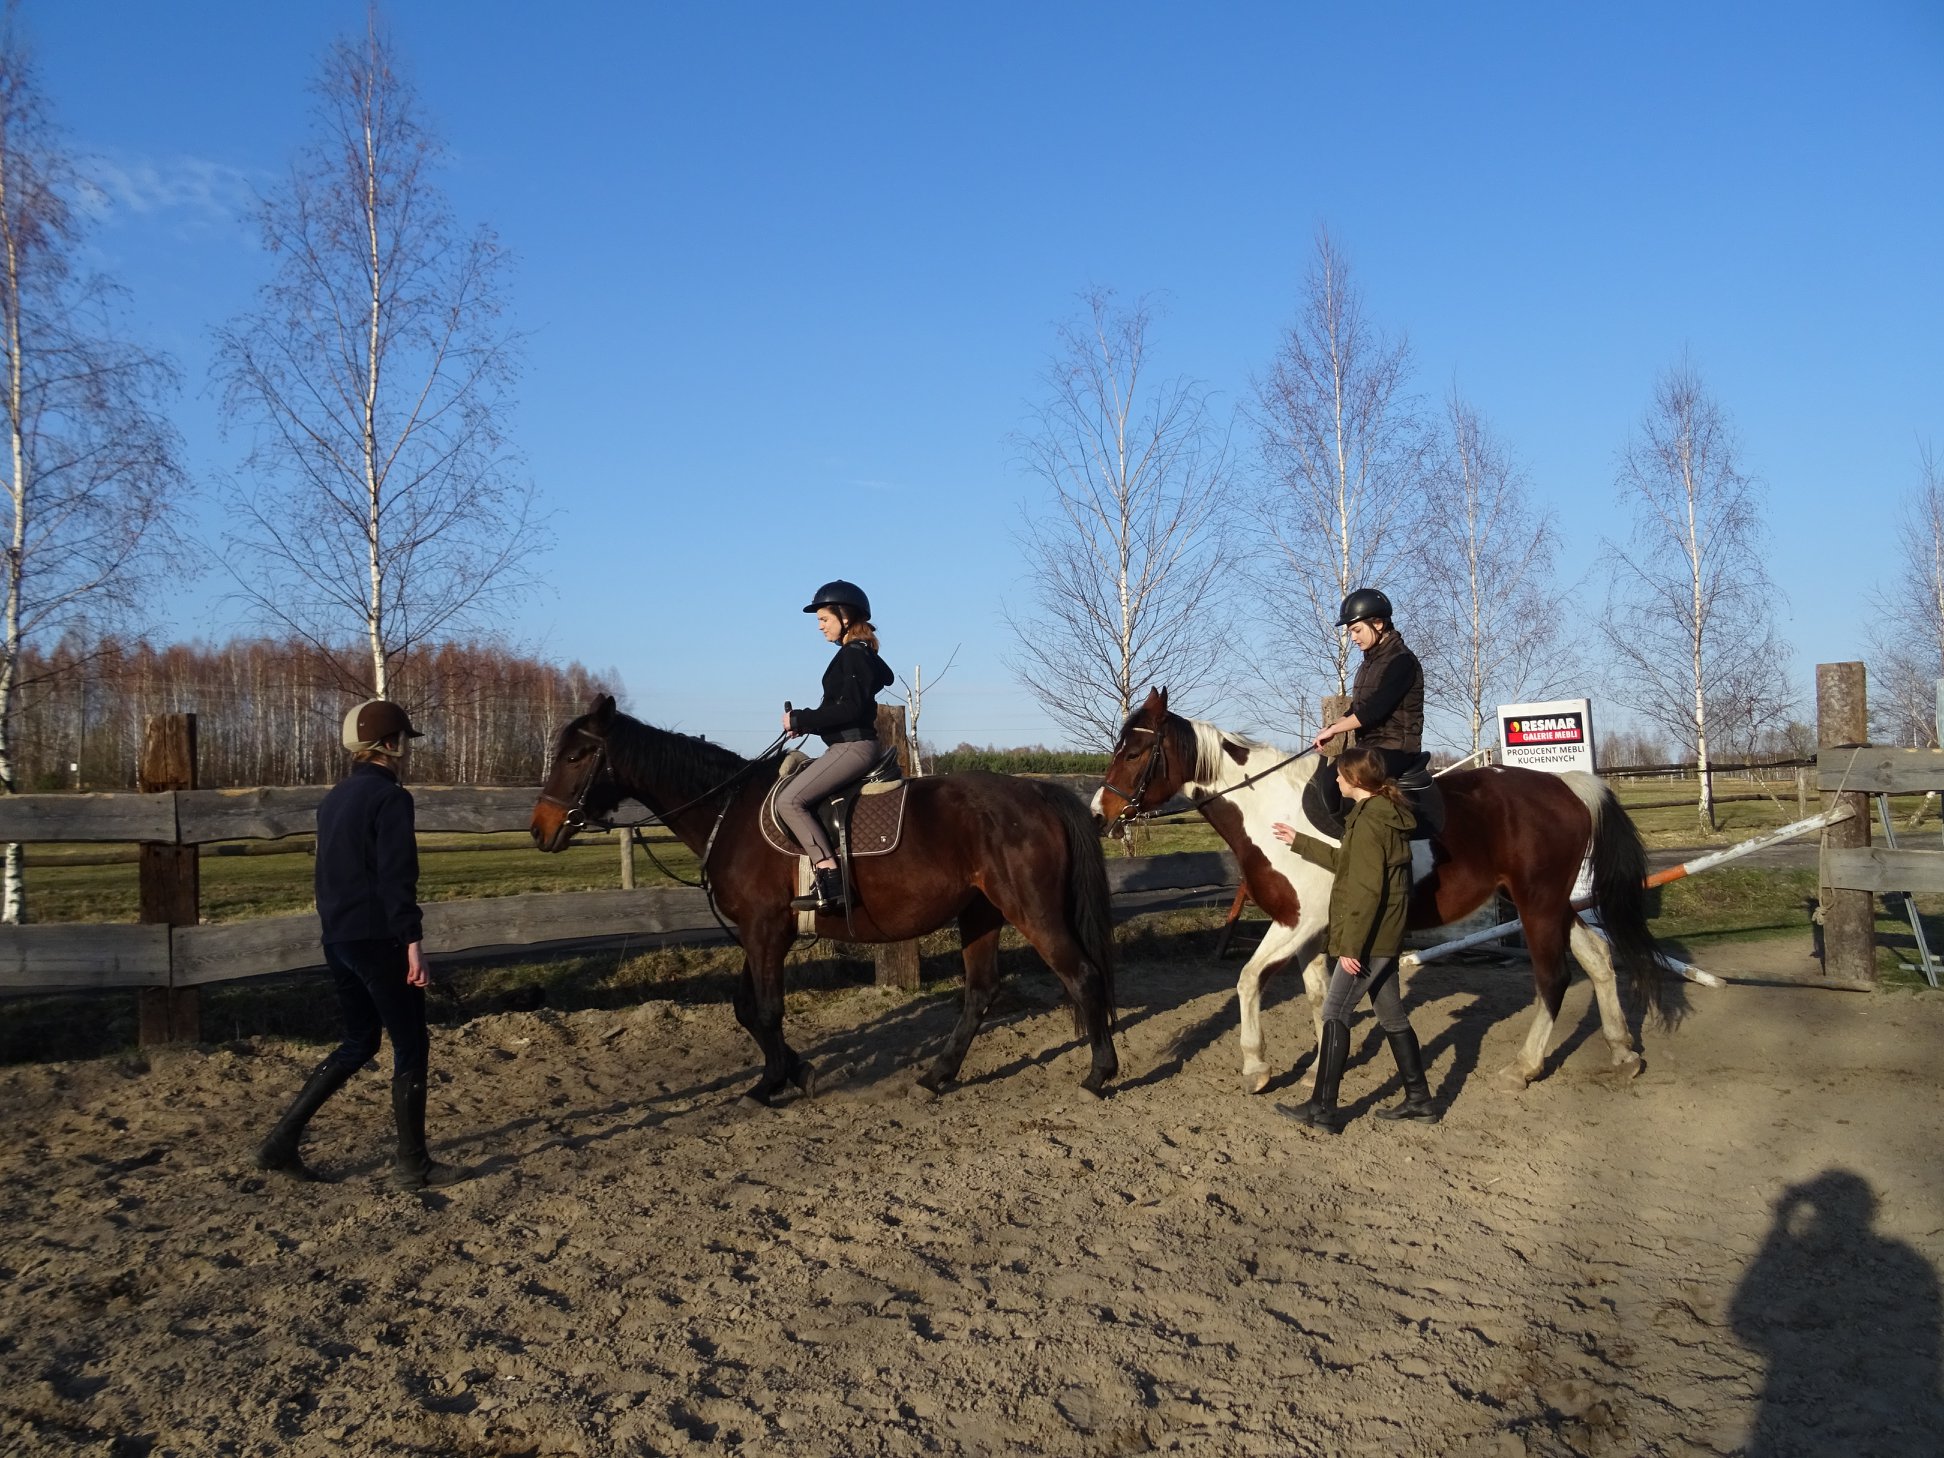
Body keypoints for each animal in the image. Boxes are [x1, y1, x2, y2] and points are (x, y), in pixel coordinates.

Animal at [529, 695, 1119, 1102]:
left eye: (578, 755)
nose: (540, 829)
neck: (728, 812)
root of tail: (1038, 790)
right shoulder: (756, 932)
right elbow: (746, 1009)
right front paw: (795, 1072)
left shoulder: (766, 930)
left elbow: (768, 1011)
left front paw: (774, 1083)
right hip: (980, 913)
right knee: (981, 993)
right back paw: (935, 1076)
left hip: (1032, 910)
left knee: (1083, 976)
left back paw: (1099, 1074)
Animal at [1094, 688, 1675, 1095]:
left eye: (1135, 751)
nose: (1100, 813)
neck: (1273, 814)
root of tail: (1567, 785)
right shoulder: (1312, 931)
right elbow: (1317, 995)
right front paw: (1320, 1069)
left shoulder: (1297, 923)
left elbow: (1248, 979)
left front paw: (1256, 1066)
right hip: (1550, 903)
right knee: (1597, 958)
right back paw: (1623, 1054)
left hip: (1536, 904)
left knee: (1553, 979)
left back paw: (1523, 1068)